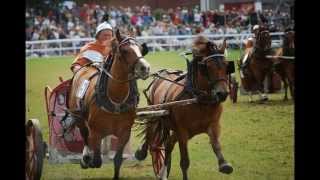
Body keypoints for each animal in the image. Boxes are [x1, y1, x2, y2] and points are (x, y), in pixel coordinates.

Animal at [66, 28, 151, 179]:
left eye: (141, 49)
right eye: (125, 50)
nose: (145, 68)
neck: (115, 98)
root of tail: (86, 67)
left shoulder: (124, 132)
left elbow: (117, 159)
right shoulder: (95, 131)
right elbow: (96, 159)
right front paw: (90, 159)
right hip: (78, 116)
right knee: (84, 134)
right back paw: (85, 158)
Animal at [134, 35, 232, 180]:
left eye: (227, 66)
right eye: (207, 67)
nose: (222, 93)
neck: (199, 100)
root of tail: (161, 74)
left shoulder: (213, 125)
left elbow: (216, 145)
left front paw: (224, 164)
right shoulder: (182, 132)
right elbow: (185, 161)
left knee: (168, 144)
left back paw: (162, 172)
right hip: (155, 115)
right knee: (151, 135)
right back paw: (143, 152)